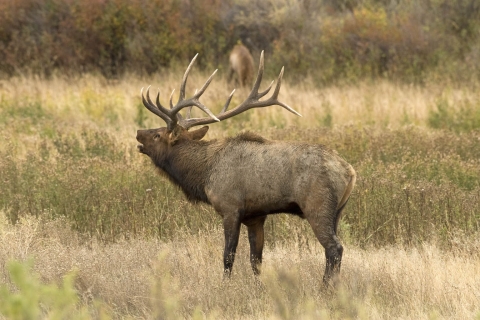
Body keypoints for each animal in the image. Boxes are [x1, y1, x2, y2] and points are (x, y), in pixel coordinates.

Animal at [136, 52, 356, 284]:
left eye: (157, 135)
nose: (138, 132)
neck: (203, 175)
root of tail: (350, 172)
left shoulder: (230, 208)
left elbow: (228, 255)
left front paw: (225, 285)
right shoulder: (255, 216)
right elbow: (256, 260)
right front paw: (259, 286)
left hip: (317, 205)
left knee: (334, 248)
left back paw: (325, 287)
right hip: (338, 212)